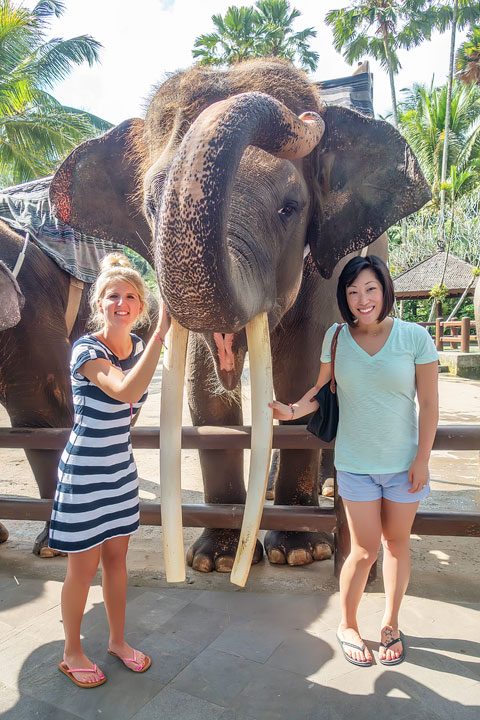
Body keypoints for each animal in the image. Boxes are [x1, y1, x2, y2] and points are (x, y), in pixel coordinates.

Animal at [49, 57, 432, 572]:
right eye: (151, 206)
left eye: (290, 208)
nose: (309, 118)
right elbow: (205, 393)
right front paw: (215, 560)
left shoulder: (328, 267)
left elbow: (303, 375)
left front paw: (299, 552)